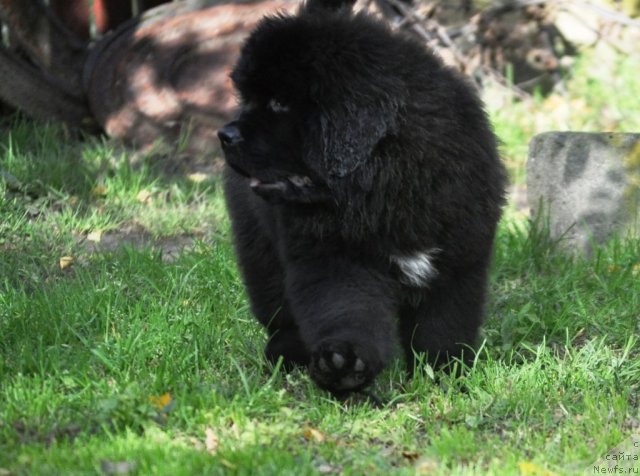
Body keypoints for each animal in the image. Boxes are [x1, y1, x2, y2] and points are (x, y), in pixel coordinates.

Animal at [218, 0, 508, 394]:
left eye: (279, 103)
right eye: (250, 99)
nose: (225, 134)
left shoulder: (460, 258)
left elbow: (444, 323)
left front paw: (444, 373)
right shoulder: (335, 258)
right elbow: (347, 309)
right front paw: (343, 363)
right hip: (256, 242)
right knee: (275, 303)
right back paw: (286, 355)